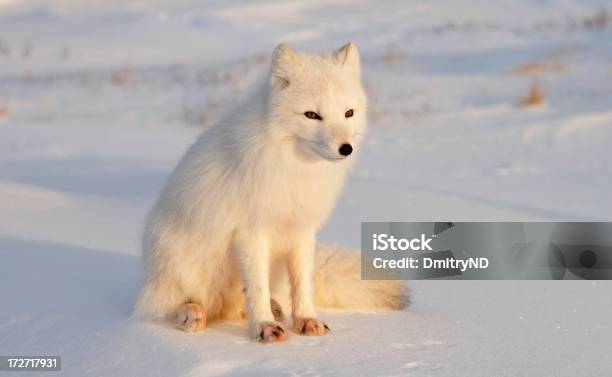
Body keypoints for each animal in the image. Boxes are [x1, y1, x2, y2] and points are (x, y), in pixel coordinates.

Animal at [136, 42, 408, 342]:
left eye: (349, 113)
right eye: (312, 115)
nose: (346, 148)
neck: (294, 167)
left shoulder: (302, 230)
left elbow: (302, 284)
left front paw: (306, 320)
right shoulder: (251, 233)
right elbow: (257, 287)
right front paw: (263, 326)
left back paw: (275, 310)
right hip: (180, 264)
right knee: (169, 307)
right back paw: (193, 314)